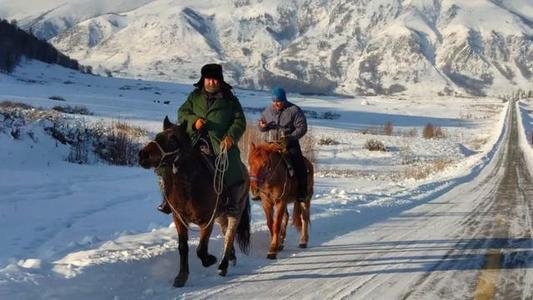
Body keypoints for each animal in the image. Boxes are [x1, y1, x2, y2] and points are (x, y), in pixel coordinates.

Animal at [139, 116, 251, 286]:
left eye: (172, 140)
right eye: (158, 136)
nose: (143, 155)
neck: (189, 188)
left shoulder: (207, 221)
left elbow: (201, 249)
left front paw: (210, 260)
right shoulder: (179, 219)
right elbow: (183, 247)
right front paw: (181, 276)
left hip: (235, 212)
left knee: (229, 236)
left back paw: (223, 265)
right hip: (221, 216)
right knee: (226, 233)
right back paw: (230, 257)